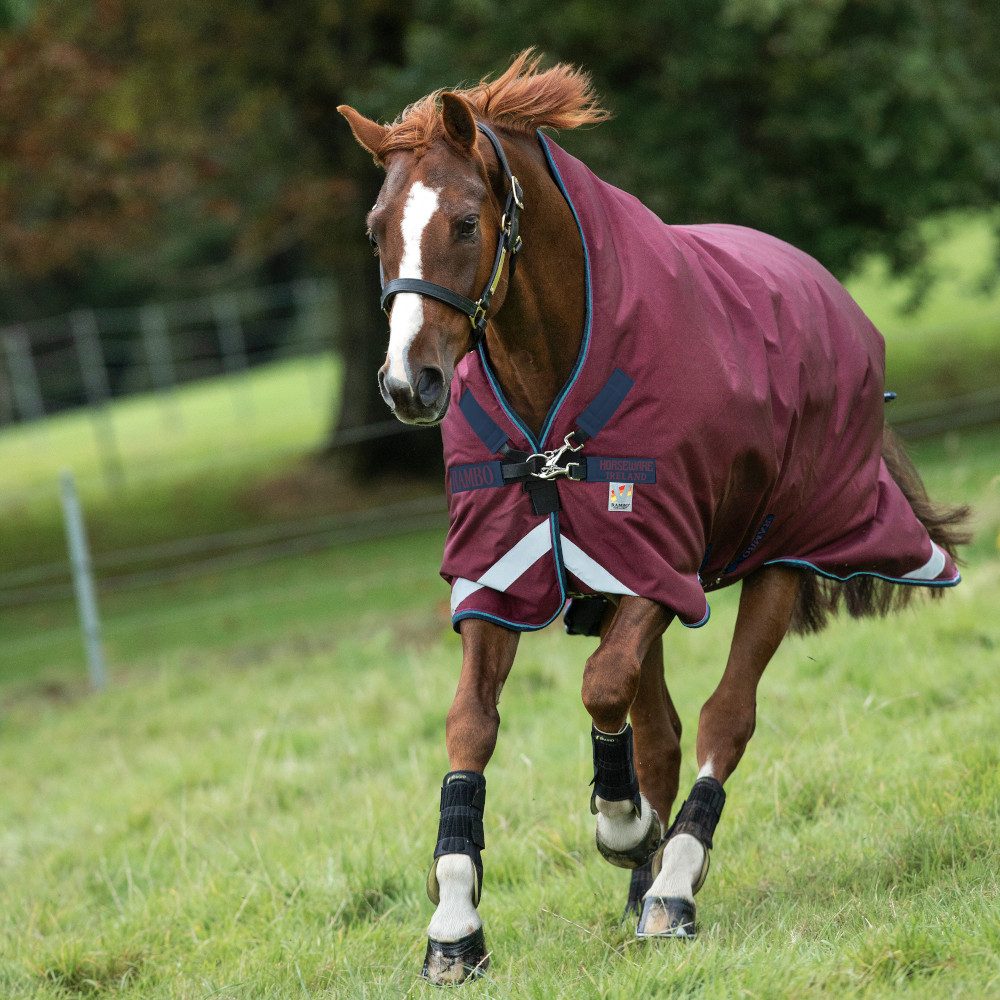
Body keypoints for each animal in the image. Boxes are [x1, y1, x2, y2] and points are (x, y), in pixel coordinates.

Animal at [338, 51, 969, 985]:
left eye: (464, 221)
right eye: (377, 228)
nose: (407, 384)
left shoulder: (655, 564)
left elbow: (605, 689)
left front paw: (623, 824)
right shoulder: (503, 571)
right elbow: (473, 726)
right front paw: (454, 925)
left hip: (782, 560)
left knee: (723, 720)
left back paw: (671, 885)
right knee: (666, 731)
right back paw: (644, 887)